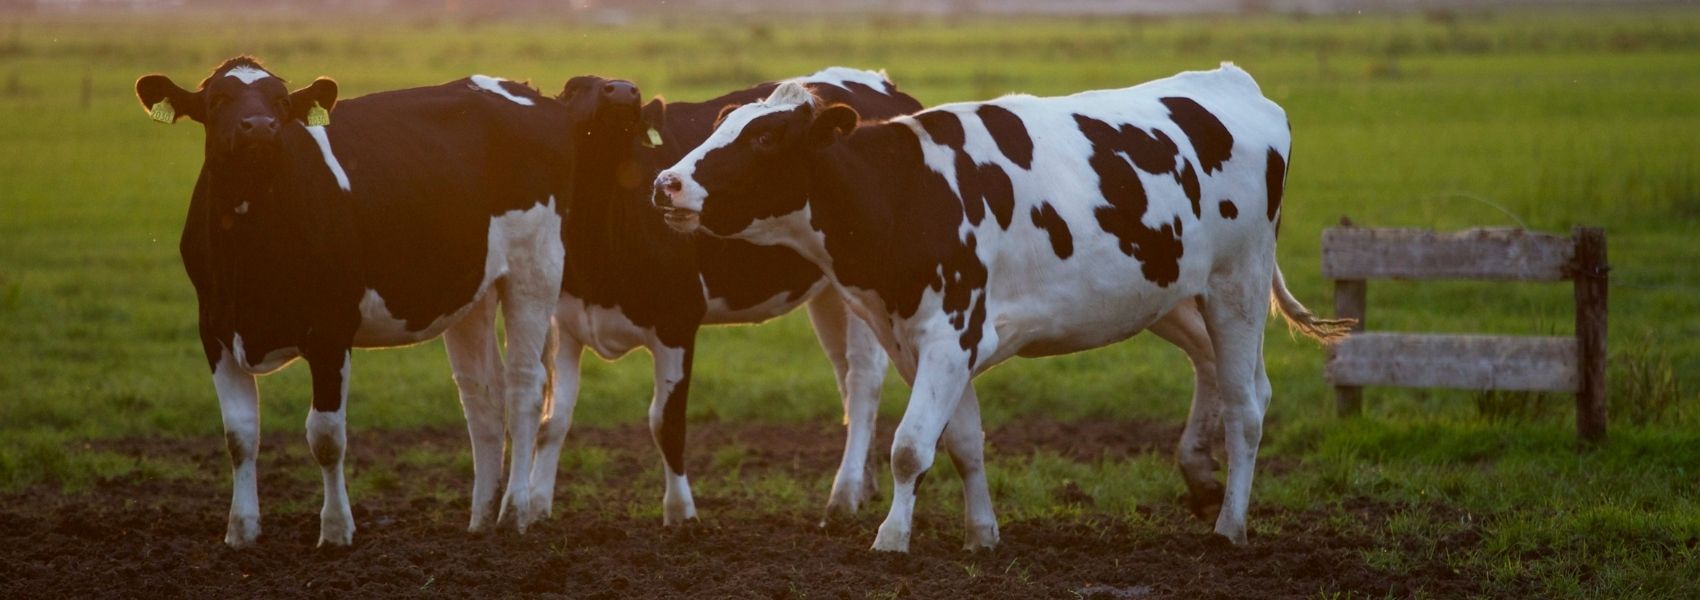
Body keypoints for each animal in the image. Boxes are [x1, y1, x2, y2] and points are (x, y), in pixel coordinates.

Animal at [136, 57, 584, 547]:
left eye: (281, 101)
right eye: (217, 99)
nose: (260, 127)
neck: (250, 249)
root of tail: (523, 89)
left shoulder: (331, 330)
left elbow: (326, 436)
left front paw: (335, 530)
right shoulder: (214, 329)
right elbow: (239, 435)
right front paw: (241, 530)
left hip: (535, 266)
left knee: (526, 386)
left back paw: (514, 511)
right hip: (474, 289)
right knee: (482, 393)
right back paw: (481, 517)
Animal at [523, 67, 924, 520]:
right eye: (574, 87)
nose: (624, 91)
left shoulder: (677, 320)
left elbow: (666, 423)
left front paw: (681, 513)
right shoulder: (566, 323)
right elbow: (553, 421)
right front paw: (535, 507)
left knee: (862, 382)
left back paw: (845, 493)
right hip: (832, 292)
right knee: (845, 376)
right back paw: (865, 485)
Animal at [652, 62, 1353, 550]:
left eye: (766, 139)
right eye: (721, 126)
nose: (666, 183)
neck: (905, 191)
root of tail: (1233, 83)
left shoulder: (949, 333)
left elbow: (910, 447)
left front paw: (891, 538)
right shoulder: (927, 341)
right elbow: (962, 443)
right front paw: (981, 534)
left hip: (1237, 284)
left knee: (1246, 406)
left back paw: (1231, 525)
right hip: (1171, 293)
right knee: (1225, 374)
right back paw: (1202, 479)